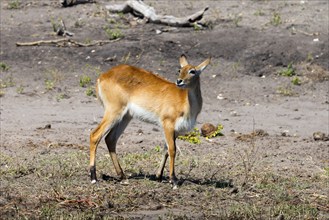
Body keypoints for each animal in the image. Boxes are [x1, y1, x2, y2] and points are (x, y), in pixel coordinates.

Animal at [89, 54, 210, 187]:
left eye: (192, 71)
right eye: (180, 70)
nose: (179, 81)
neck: (185, 104)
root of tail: (103, 76)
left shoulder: (176, 131)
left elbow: (166, 150)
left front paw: (159, 176)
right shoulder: (167, 125)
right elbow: (172, 150)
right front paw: (173, 180)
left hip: (125, 117)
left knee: (110, 139)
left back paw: (122, 176)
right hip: (113, 113)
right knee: (95, 135)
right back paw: (93, 177)